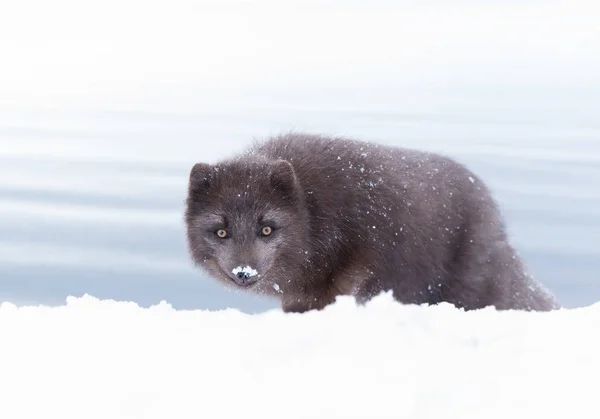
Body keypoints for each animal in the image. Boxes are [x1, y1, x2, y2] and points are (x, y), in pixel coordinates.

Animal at [185, 133, 560, 314]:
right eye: (221, 231)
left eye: (266, 228)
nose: (243, 272)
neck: (313, 212)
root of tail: (499, 229)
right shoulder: (301, 293)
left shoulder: (351, 266)